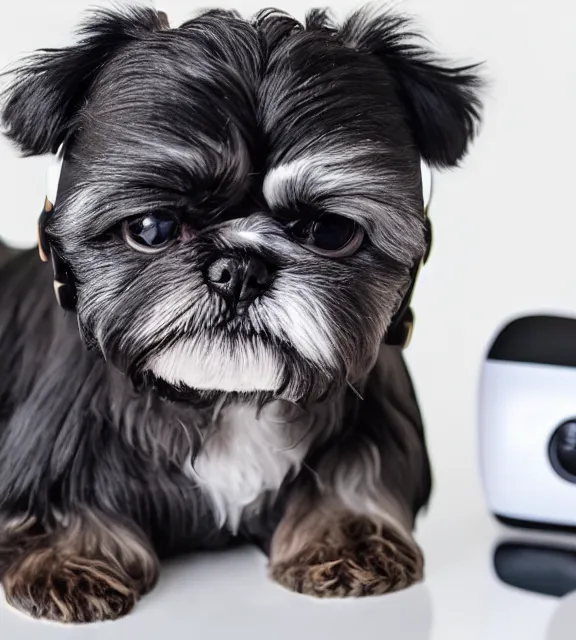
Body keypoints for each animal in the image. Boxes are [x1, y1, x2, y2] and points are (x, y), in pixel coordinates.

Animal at [0, 3, 480, 624]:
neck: (225, 397)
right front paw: (68, 558)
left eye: (330, 231)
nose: (239, 269)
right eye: (151, 228)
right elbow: (59, 502)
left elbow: (355, 471)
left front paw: (348, 536)